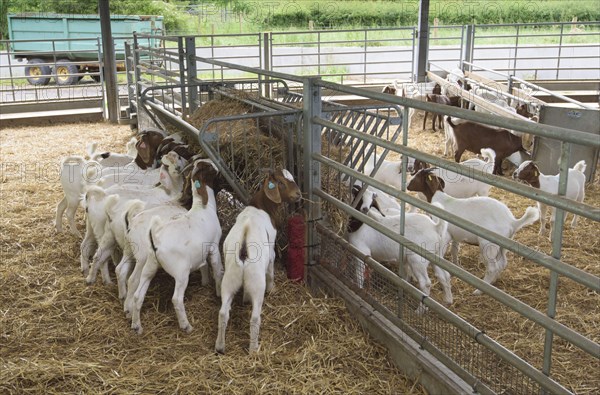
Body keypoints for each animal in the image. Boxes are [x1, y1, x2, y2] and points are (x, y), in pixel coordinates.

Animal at [214, 169, 300, 354]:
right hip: (256, 283)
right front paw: (273, 289)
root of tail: (244, 248)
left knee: (223, 312)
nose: (298, 194)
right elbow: (271, 268)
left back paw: (220, 346)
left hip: (229, 279)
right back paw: (254, 348)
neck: (260, 207)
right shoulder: (272, 247)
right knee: (254, 318)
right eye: (281, 183)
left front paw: (245, 299)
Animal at [408, 169, 540, 296]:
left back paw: (479, 290)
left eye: (418, 176)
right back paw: (493, 284)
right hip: (503, 245)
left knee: (493, 267)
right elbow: (454, 250)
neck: (440, 200)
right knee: (502, 263)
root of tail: (512, 222)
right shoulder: (455, 236)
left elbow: (441, 252)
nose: (408, 185)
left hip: (488, 244)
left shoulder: (445, 235)